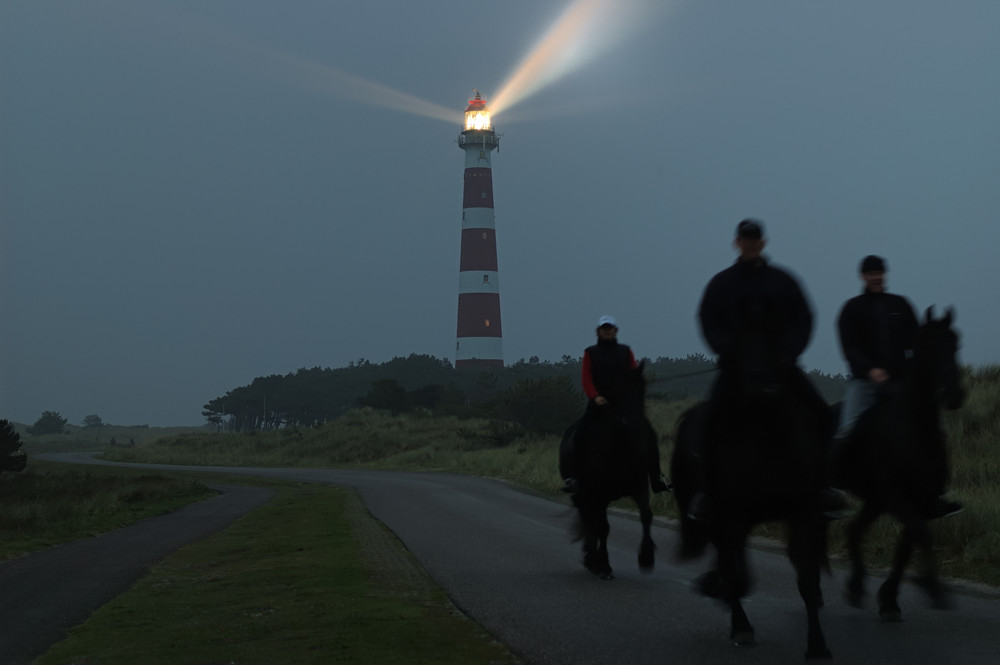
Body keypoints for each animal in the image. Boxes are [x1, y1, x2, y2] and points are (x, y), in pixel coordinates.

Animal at [568, 360, 660, 580]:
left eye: (642, 390)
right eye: (618, 391)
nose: (633, 423)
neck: (620, 445)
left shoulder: (640, 486)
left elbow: (646, 516)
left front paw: (646, 556)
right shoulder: (599, 493)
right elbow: (603, 528)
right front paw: (603, 565)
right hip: (584, 494)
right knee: (590, 520)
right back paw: (592, 559)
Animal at [672, 364, 836, 660]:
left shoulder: (804, 514)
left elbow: (804, 577)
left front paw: (818, 645)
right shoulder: (731, 518)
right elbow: (737, 575)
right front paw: (737, 621)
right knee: (731, 564)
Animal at [840, 306, 964, 616]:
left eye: (956, 344)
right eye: (928, 347)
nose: (954, 395)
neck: (915, 431)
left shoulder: (919, 500)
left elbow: (907, 546)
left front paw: (890, 598)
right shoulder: (896, 498)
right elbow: (920, 536)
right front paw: (933, 588)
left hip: (874, 502)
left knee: (853, 531)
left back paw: (856, 586)